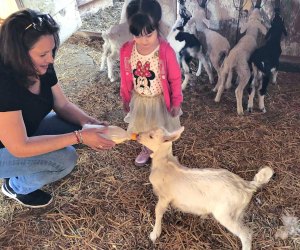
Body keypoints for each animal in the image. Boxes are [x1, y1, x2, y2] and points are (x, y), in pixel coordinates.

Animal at [138, 127, 274, 250]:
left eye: (151, 136)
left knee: (246, 233)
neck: (164, 164)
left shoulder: (165, 197)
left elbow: (158, 211)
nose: (138, 135)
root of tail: (247, 186)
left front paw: (154, 234)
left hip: (225, 213)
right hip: (237, 212)